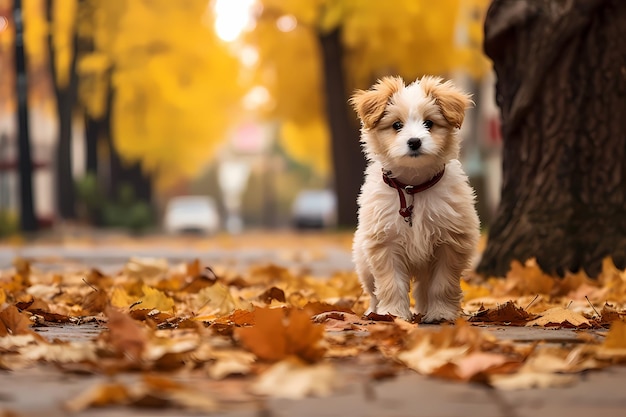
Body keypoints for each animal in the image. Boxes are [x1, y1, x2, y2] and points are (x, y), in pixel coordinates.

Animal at [352, 75, 478, 322]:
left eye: (429, 123)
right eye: (396, 125)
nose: (414, 141)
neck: (412, 187)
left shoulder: (450, 242)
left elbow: (442, 284)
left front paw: (441, 313)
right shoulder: (385, 243)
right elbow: (391, 284)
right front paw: (393, 314)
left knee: (423, 289)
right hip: (363, 261)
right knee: (372, 292)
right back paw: (374, 311)